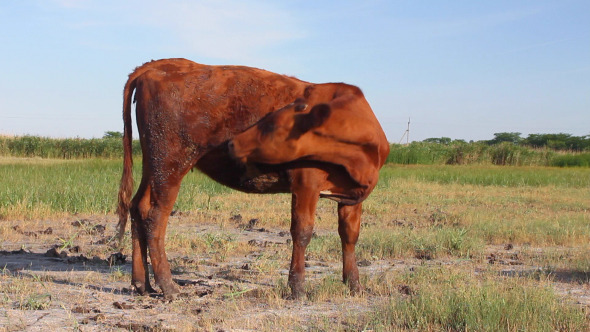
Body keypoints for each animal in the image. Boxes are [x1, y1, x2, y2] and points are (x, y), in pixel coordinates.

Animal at [118, 58, 390, 300]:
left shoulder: (352, 196)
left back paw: (143, 285)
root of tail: (158, 65)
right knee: (155, 218)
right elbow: (302, 231)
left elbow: (350, 235)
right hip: (170, 165)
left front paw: (354, 285)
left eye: (272, 127)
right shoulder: (306, 183)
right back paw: (168, 287)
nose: (232, 143)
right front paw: (297, 288)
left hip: (152, 166)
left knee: (138, 207)